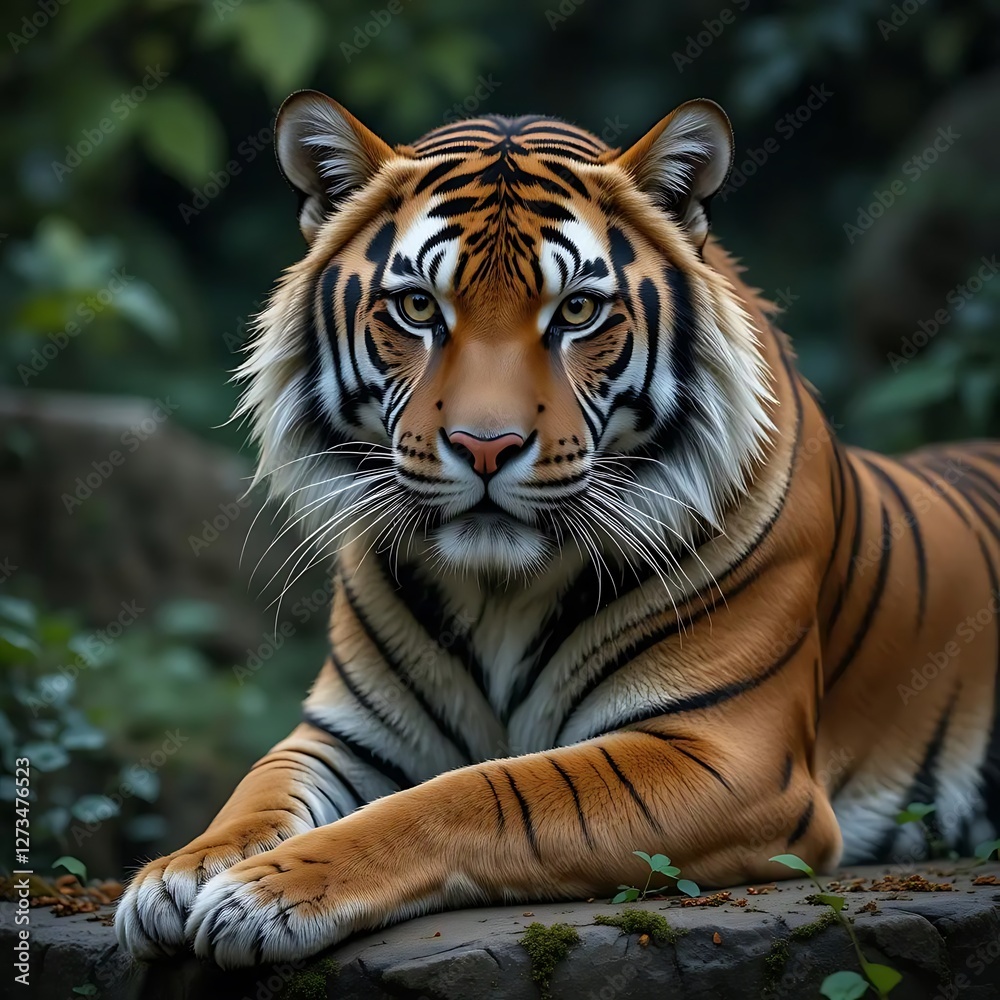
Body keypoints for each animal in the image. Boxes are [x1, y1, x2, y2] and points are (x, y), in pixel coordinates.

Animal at [116, 90, 1000, 968]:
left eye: (576, 310)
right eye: (417, 306)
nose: (485, 446)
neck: (498, 590)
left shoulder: (728, 753)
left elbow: (480, 792)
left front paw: (267, 891)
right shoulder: (346, 735)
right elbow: (258, 790)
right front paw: (179, 874)